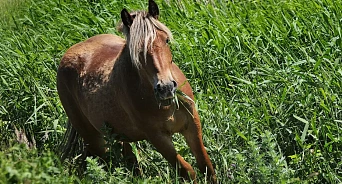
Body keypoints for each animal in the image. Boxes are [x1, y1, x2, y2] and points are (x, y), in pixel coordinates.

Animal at [56, 0, 216, 183]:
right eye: (139, 51)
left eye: (167, 40)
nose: (166, 88)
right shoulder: (157, 137)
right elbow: (188, 171)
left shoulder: (192, 124)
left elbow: (206, 166)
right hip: (95, 140)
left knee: (130, 160)